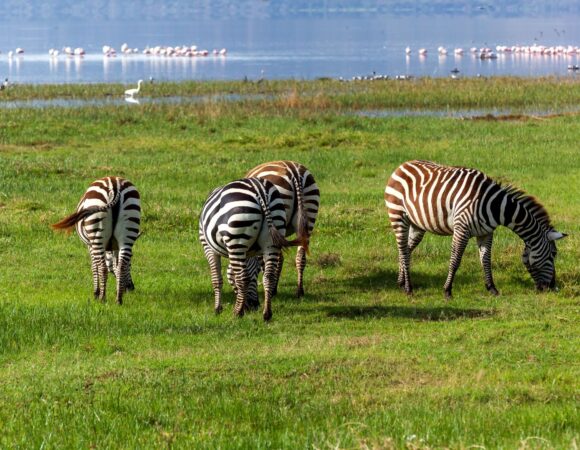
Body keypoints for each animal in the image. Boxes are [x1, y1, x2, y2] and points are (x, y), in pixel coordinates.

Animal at [198, 176, 304, 320]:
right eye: (256, 273)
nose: (255, 305)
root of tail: (259, 189)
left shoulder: (208, 248)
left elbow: (217, 279)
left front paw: (218, 309)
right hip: (272, 237)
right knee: (269, 276)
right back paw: (267, 313)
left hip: (237, 237)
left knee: (242, 278)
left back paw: (237, 312)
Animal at [228, 160, 322, 304]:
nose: (250, 304)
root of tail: (294, 171)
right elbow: (279, 259)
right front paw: (274, 288)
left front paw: (271, 290)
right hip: (309, 213)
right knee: (301, 256)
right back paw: (300, 291)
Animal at [386, 160, 568, 298]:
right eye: (553, 254)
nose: (552, 287)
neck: (496, 207)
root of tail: (402, 165)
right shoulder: (462, 229)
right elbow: (455, 260)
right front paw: (447, 291)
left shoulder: (486, 233)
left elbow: (486, 260)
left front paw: (492, 289)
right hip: (398, 215)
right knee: (403, 249)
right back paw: (409, 288)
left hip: (417, 225)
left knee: (406, 250)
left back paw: (401, 282)